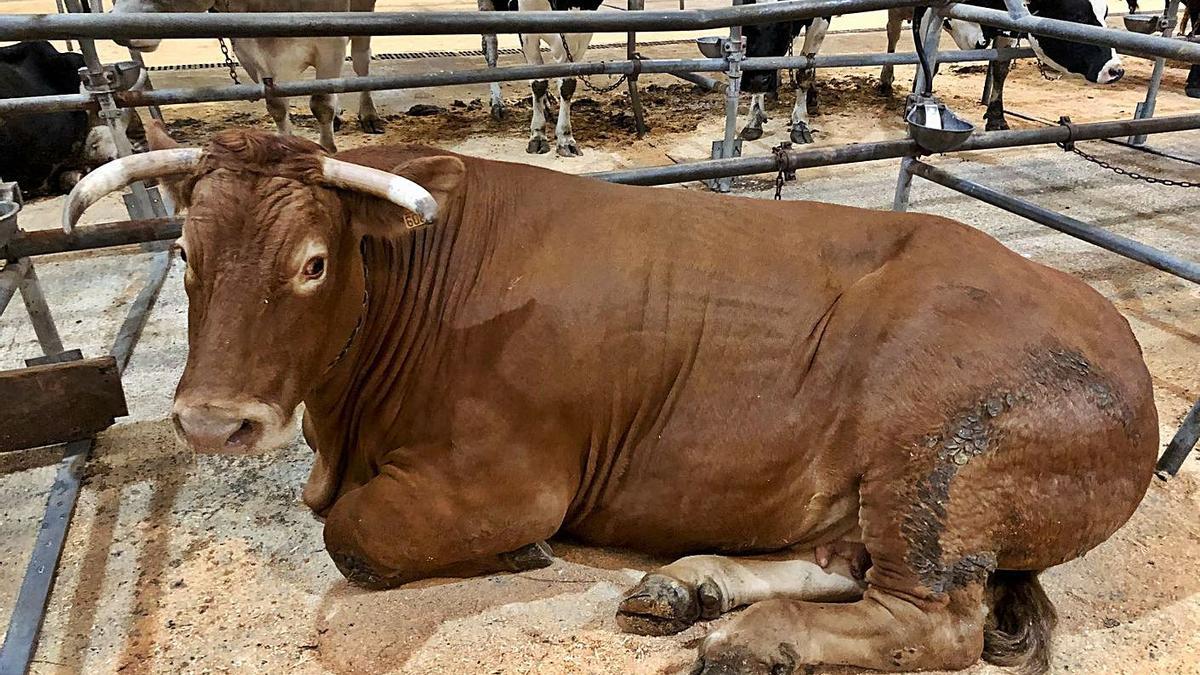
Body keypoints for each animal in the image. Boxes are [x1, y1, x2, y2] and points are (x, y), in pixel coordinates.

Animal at [60, 123, 1156, 667]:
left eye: (315, 264)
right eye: (184, 253)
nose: (212, 419)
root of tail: (1119, 345)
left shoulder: (510, 478)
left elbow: (354, 536)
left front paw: (511, 556)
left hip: (934, 460)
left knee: (933, 621)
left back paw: (749, 640)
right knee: (843, 561)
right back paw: (690, 588)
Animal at [492, 0, 600, 156]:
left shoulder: (582, 29)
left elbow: (567, 84)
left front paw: (565, 138)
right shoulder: (526, 24)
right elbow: (538, 82)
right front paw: (538, 135)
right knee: (490, 47)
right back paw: (497, 103)